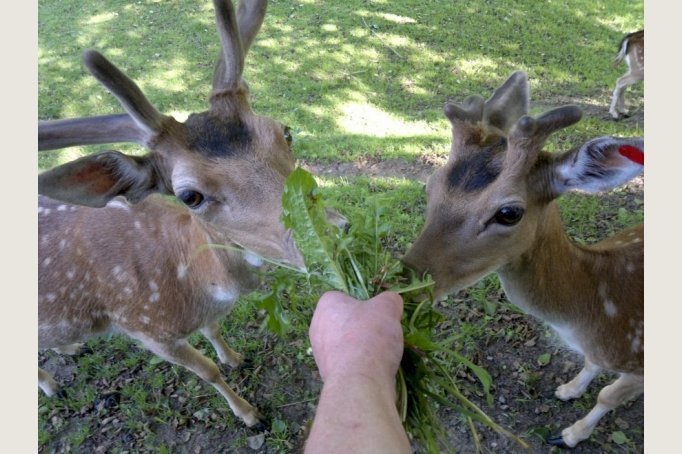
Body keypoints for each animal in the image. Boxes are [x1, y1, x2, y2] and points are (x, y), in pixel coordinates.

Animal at [36, 0, 306, 430]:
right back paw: (52, 385)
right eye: (189, 195)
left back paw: (69, 348)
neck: (198, 287)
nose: (336, 233)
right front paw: (249, 414)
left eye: (286, 131)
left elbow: (214, 331)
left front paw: (234, 357)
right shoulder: (146, 329)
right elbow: (206, 371)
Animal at [404, 72, 644, 448]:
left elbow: (608, 395)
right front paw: (568, 390)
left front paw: (571, 435)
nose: (403, 281)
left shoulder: (641, 365)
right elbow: (591, 366)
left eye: (509, 213)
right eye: (430, 185)